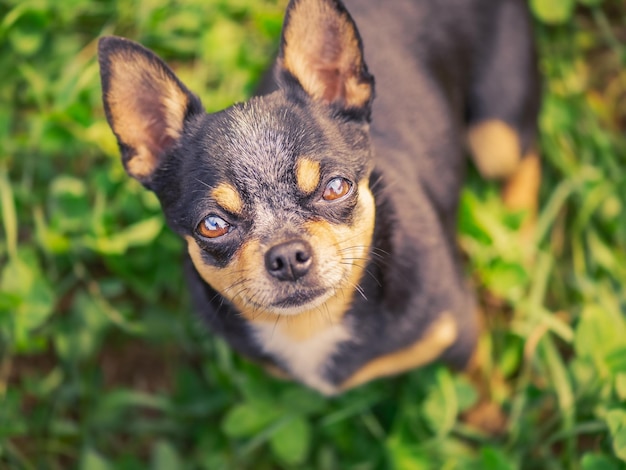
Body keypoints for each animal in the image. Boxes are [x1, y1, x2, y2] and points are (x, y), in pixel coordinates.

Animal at [96, 0, 536, 394]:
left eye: (336, 187)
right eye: (214, 225)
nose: (288, 255)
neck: (311, 326)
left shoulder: (459, 338)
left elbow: (480, 398)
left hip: (495, 138)